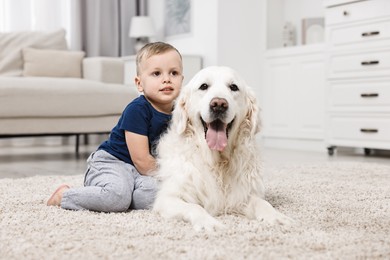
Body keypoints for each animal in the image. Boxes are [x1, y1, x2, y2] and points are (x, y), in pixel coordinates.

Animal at [152, 66, 292, 231]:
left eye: (233, 87)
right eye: (204, 86)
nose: (219, 104)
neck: (217, 163)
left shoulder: (242, 196)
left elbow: (262, 203)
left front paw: (276, 216)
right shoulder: (168, 198)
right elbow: (194, 207)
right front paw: (208, 223)